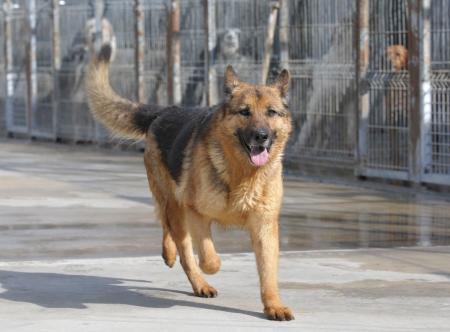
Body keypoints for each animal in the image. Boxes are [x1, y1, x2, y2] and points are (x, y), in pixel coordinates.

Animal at [85, 45, 294, 320]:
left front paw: (273, 306)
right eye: (244, 112)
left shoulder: (264, 227)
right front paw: (211, 265)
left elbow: (268, 273)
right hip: (175, 205)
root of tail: (164, 111)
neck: (242, 174)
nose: (261, 136)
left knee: (167, 225)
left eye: (271, 112)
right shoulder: (197, 214)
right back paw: (190, 273)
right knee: (177, 239)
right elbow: (209, 258)